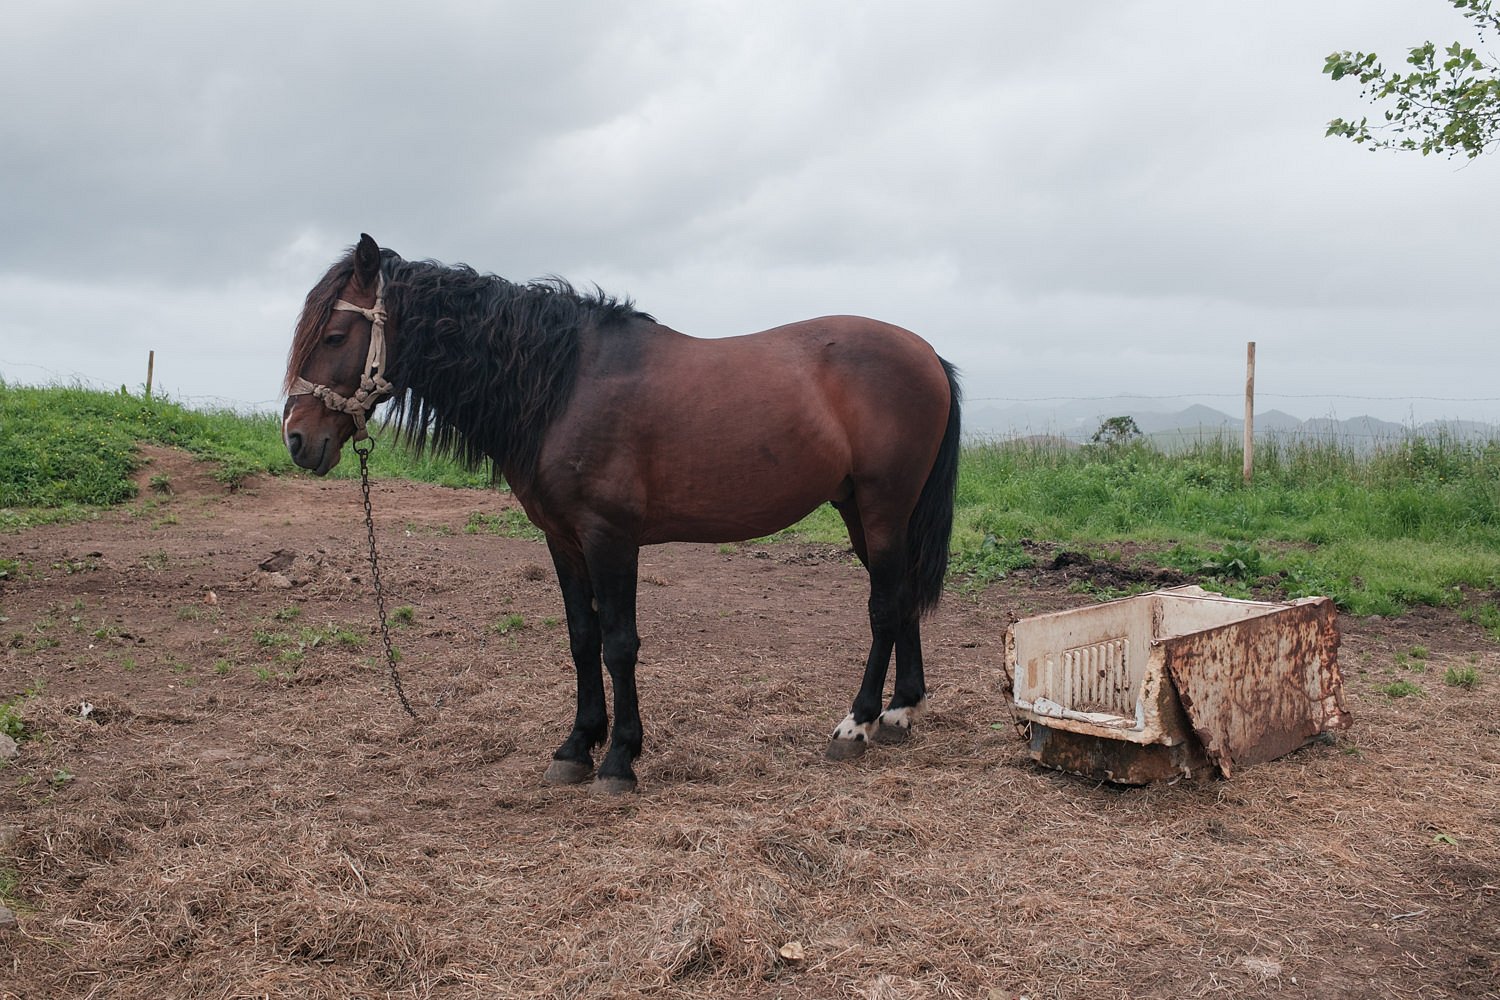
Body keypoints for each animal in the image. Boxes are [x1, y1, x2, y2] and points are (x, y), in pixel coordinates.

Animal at [282, 234, 961, 794]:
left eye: (334, 337)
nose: (296, 439)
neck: (563, 384)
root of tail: (927, 352)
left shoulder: (610, 537)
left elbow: (618, 643)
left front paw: (619, 760)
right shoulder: (562, 538)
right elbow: (582, 638)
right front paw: (577, 747)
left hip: (882, 506)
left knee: (883, 607)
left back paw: (857, 724)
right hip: (859, 510)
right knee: (901, 596)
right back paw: (900, 712)